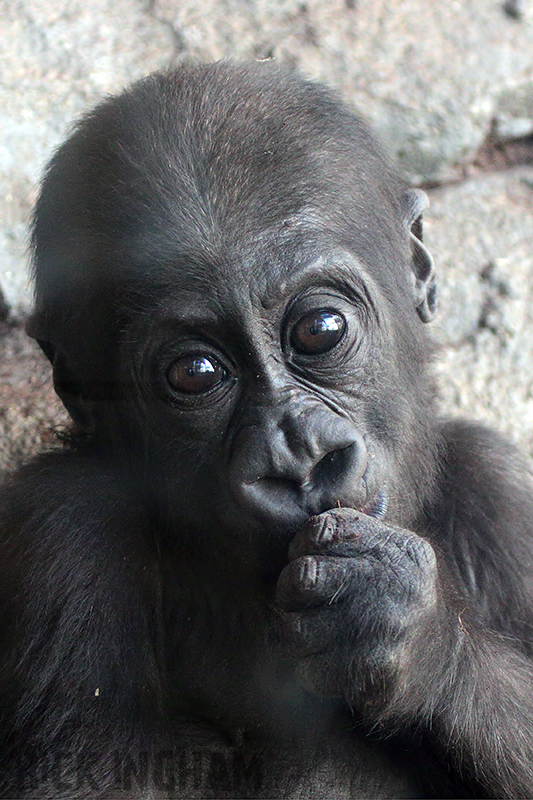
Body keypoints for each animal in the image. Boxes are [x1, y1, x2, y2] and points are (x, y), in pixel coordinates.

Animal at [1, 59, 532, 796]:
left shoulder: (502, 495)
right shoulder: (63, 522)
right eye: (196, 373)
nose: (300, 456)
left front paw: (415, 635)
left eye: (320, 329)